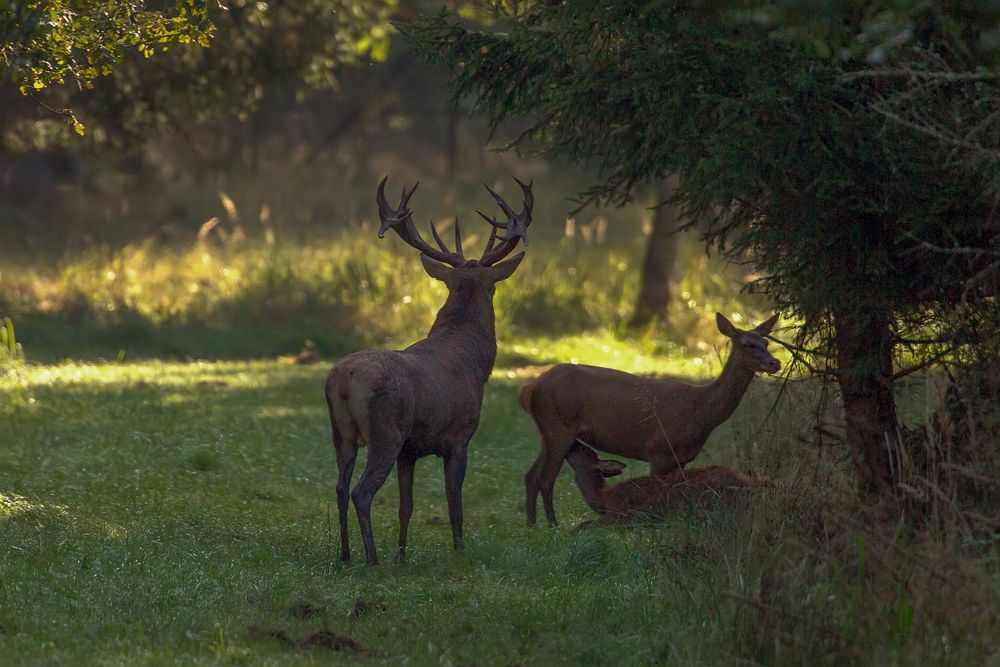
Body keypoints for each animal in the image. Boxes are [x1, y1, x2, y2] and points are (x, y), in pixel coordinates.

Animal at [326, 176, 532, 564]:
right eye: (493, 286)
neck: (475, 360)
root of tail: (344, 379)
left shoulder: (410, 451)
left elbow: (406, 506)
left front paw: (403, 555)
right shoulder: (459, 436)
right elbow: (454, 502)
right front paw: (459, 550)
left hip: (340, 431)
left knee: (340, 487)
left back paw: (345, 555)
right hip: (386, 430)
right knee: (362, 491)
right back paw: (371, 559)